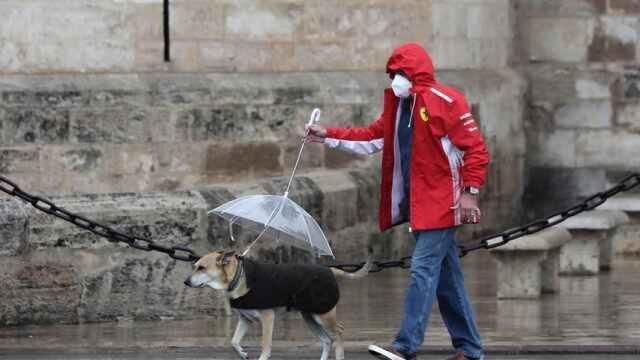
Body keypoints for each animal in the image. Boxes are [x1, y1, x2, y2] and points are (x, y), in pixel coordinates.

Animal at [184, 250, 370, 360]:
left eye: (201, 268)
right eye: (195, 266)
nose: (186, 282)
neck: (239, 277)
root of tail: (330, 270)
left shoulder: (268, 318)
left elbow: (265, 345)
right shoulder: (245, 319)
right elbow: (234, 341)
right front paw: (243, 353)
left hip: (323, 316)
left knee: (338, 332)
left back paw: (340, 355)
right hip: (310, 317)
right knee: (327, 340)